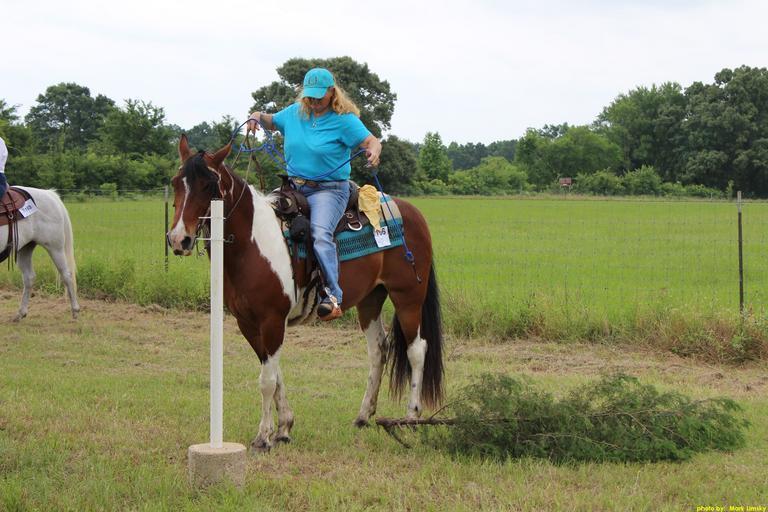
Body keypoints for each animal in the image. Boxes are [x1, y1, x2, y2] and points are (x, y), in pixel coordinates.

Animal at [0, 187, 80, 321]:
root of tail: (49, 193)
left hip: (55, 248)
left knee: (67, 275)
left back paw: (75, 310)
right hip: (25, 248)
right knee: (29, 277)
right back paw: (21, 313)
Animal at [167, 135, 444, 452]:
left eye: (208, 185)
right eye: (176, 182)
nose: (179, 239)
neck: (254, 244)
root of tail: (411, 212)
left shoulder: (272, 320)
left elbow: (267, 380)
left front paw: (263, 437)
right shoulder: (249, 323)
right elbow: (274, 375)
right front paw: (284, 428)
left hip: (408, 296)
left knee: (416, 350)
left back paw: (410, 418)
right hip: (370, 299)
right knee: (378, 350)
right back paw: (363, 416)